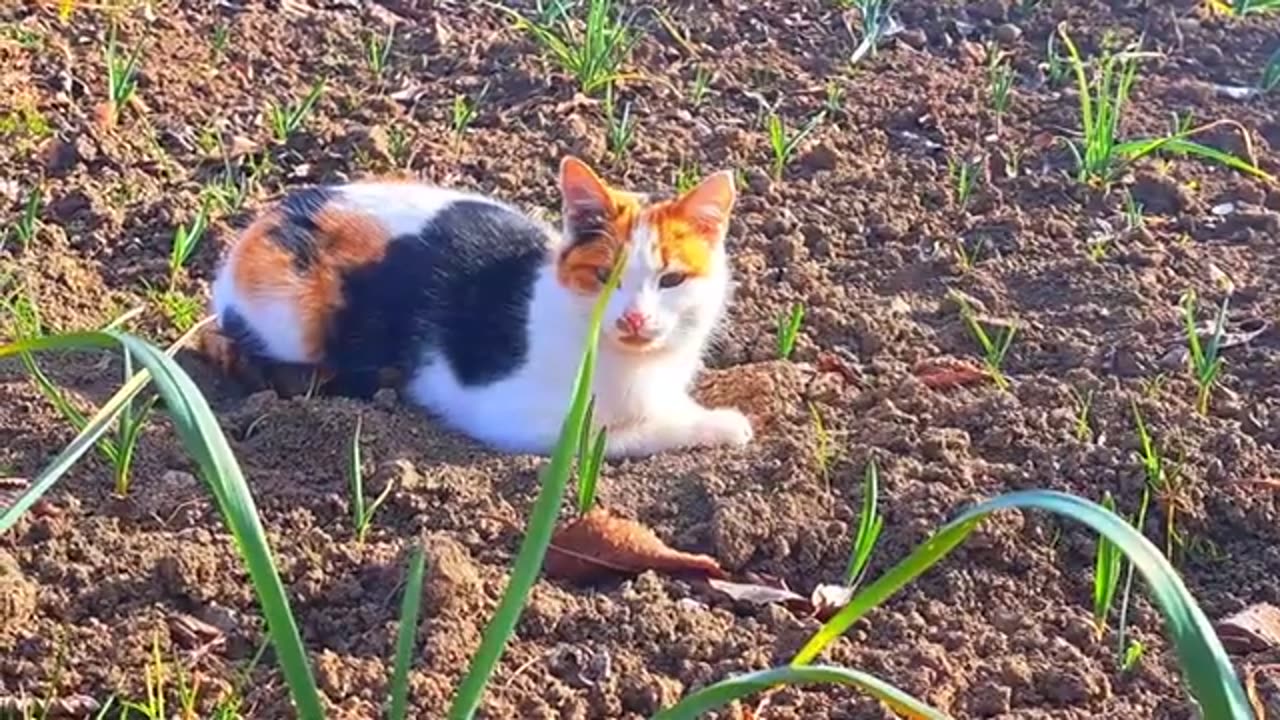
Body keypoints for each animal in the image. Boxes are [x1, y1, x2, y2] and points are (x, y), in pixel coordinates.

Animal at [204, 158, 752, 453]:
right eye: (604, 278)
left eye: (671, 279)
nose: (634, 318)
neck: (636, 369)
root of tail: (268, 218)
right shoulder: (513, 419)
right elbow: (614, 433)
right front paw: (721, 424)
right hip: (289, 317)